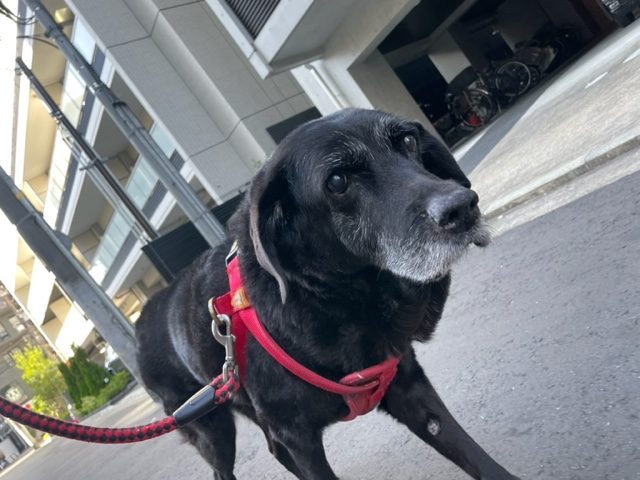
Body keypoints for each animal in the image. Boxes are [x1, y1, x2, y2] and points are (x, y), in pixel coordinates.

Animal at [135, 108, 520, 480]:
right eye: (337, 181)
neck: (340, 301)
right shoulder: (298, 438)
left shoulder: (410, 388)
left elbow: (472, 455)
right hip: (210, 428)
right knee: (222, 470)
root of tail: (141, 320)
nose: (463, 207)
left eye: (409, 140)